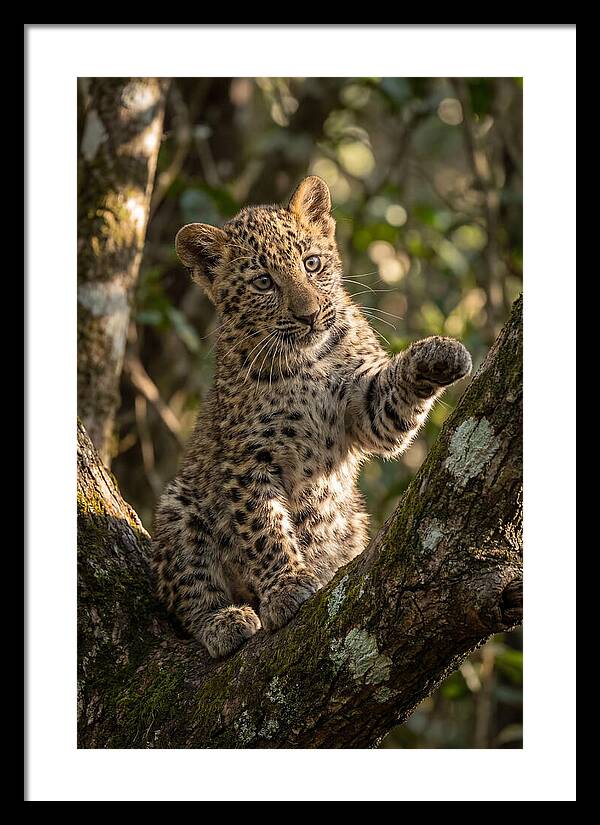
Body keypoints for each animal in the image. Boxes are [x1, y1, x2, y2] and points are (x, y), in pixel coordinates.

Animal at [152, 175, 472, 659]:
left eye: (312, 263)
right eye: (263, 282)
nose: (309, 315)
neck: (307, 362)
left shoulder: (364, 409)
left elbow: (390, 402)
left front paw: (439, 353)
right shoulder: (247, 460)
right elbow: (264, 528)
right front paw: (286, 588)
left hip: (352, 521)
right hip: (180, 506)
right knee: (188, 593)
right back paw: (224, 621)